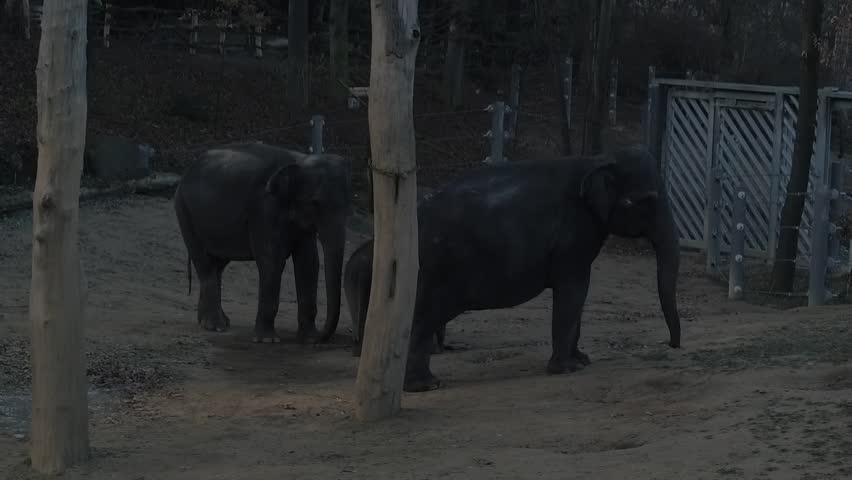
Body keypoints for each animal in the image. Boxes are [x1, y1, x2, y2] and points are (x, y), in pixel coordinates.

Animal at [173, 142, 352, 344]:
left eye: (348, 204)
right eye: (315, 203)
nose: (321, 337)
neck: (300, 160)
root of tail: (187, 172)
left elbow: (309, 263)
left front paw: (309, 338)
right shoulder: (264, 209)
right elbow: (272, 262)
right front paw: (267, 340)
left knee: (217, 265)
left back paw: (215, 322)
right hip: (184, 211)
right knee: (205, 265)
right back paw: (216, 326)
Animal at [351, 145, 681, 392]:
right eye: (648, 200)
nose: (672, 345)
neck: (598, 159)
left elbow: (577, 295)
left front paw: (583, 360)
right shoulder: (572, 236)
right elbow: (573, 290)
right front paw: (568, 369)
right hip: (437, 269)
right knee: (425, 316)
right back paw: (425, 385)